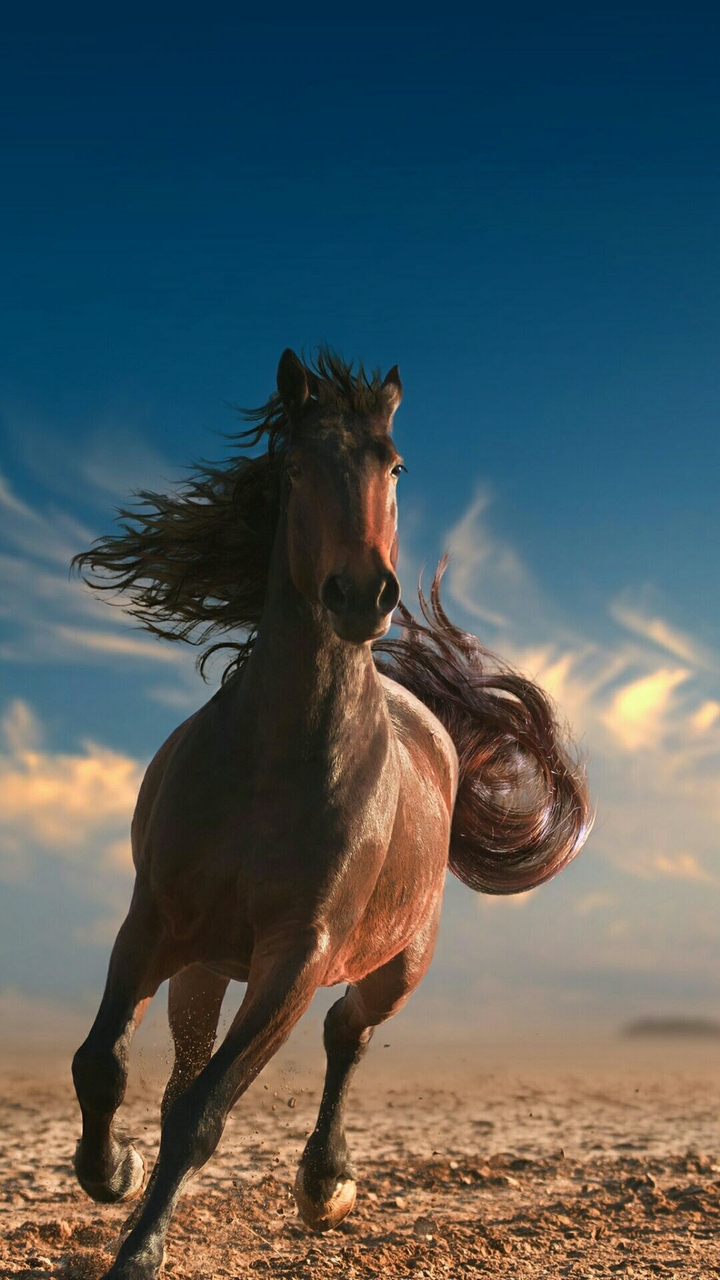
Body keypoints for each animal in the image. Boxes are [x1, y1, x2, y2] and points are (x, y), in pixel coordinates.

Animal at [70, 348, 591, 1280]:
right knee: (187, 1060)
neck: (275, 760)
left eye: (395, 466)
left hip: (399, 959)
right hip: (205, 963)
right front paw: (111, 1171)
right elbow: (104, 1067)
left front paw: (138, 1251)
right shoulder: (155, 920)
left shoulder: (298, 955)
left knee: (346, 1034)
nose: (360, 594)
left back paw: (326, 1186)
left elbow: (203, 1115)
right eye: (295, 467)